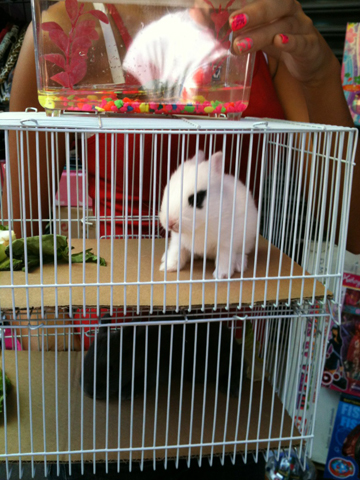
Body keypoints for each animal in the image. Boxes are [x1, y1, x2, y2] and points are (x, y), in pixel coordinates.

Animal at [82, 316, 245, 402]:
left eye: (110, 368)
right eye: (85, 361)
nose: (89, 392)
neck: (137, 351)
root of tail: (233, 342)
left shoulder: (155, 371)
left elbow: (144, 381)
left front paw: (126, 393)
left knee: (241, 364)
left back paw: (231, 387)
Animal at [159, 150, 258, 278]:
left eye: (197, 199)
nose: (170, 222)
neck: (199, 227)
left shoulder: (226, 243)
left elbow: (224, 259)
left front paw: (221, 275)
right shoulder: (178, 241)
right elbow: (176, 254)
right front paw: (167, 267)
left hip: (247, 241)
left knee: (242, 253)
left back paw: (240, 265)